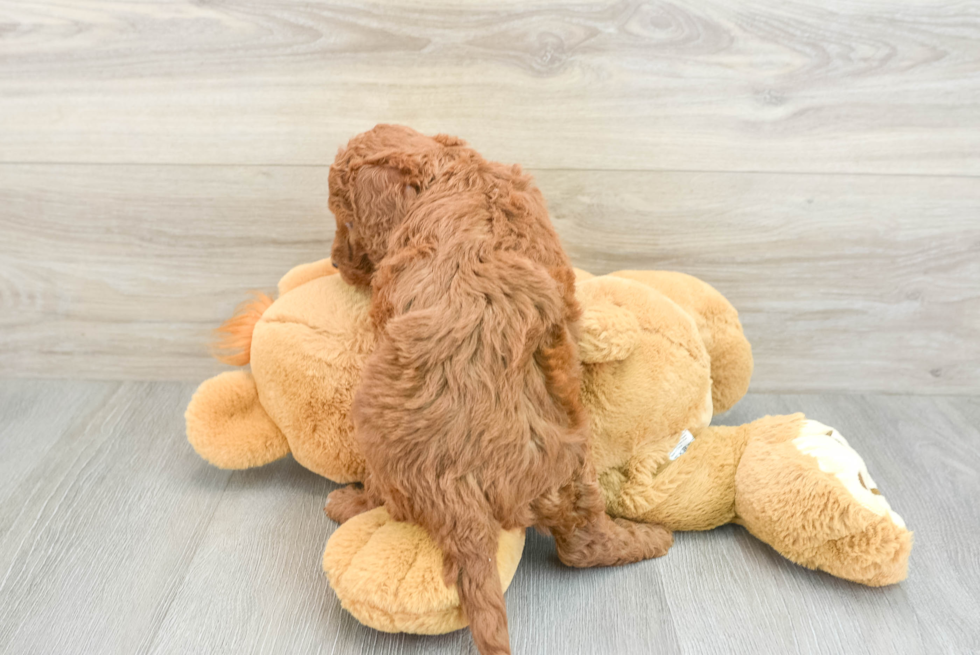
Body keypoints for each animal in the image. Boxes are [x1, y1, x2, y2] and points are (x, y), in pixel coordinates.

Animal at [326, 124, 668, 655]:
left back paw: (347, 503)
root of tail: (459, 490)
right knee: (583, 544)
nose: (334, 262)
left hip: (374, 430)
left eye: (345, 219)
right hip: (573, 468)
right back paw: (648, 539)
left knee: (385, 496)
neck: (452, 169)